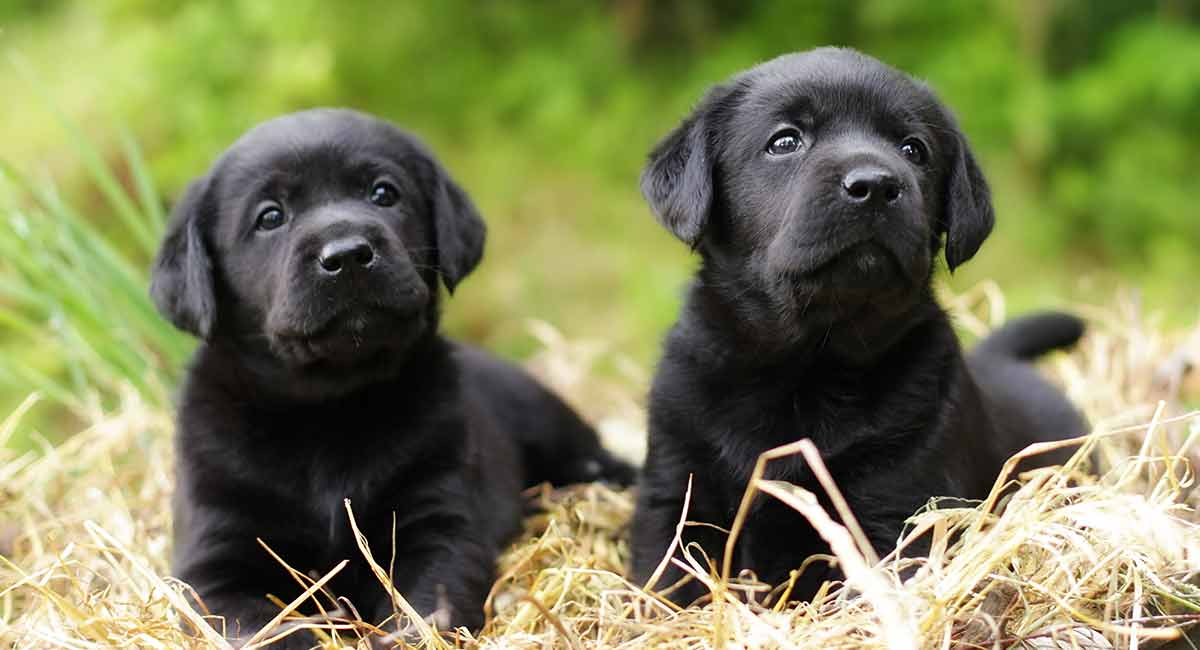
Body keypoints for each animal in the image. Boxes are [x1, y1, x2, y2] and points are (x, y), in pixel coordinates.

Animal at [152, 108, 628, 647]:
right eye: (270, 216)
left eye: (383, 193)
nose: (346, 254)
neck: (327, 409)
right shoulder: (216, 563)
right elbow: (262, 626)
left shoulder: (437, 525)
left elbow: (423, 608)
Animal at [628, 49, 1089, 606]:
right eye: (784, 141)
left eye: (914, 149)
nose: (875, 186)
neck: (807, 364)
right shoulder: (676, 489)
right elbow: (666, 581)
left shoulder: (902, 505)